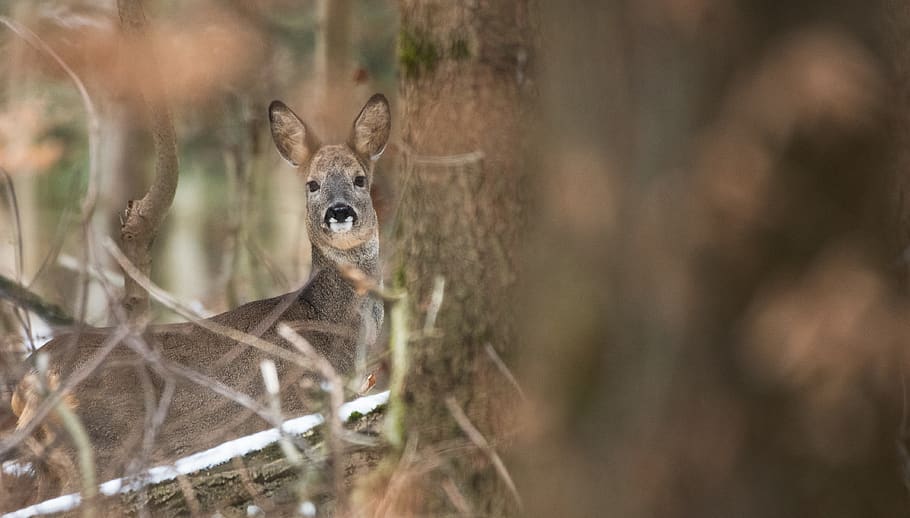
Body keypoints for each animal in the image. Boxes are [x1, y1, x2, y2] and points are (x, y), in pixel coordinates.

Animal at [5, 94, 391, 501]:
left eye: (359, 179)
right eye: (312, 185)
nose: (339, 212)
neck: (330, 325)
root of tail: (28, 377)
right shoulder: (293, 405)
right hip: (96, 445)